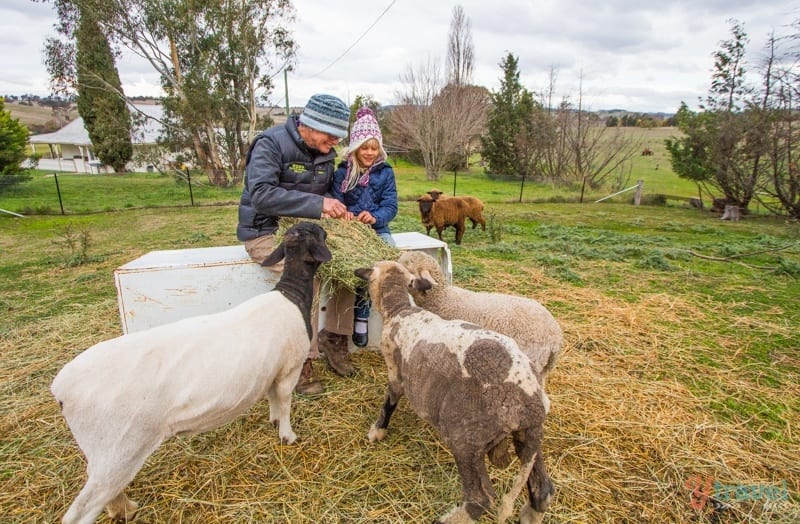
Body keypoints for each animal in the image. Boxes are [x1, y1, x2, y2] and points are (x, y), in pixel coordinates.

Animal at [50, 221, 332, 524]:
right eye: (318, 232)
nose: (326, 228)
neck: (290, 294)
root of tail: (61, 390)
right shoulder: (290, 368)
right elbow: (286, 403)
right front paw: (288, 435)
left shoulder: (273, 369)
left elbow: (272, 399)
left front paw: (273, 421)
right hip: (118, 449)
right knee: (82, 511)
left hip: (103, 455)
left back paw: (124, 509)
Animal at [354, 262, 552, 524]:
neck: (401, 310)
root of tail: (531, 405)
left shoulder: (395, 372)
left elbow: (389, 403)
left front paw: (377, 431)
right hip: (527, 439)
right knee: (543, 489)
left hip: (465, 439)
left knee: (481, 498)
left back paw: (449, 518)